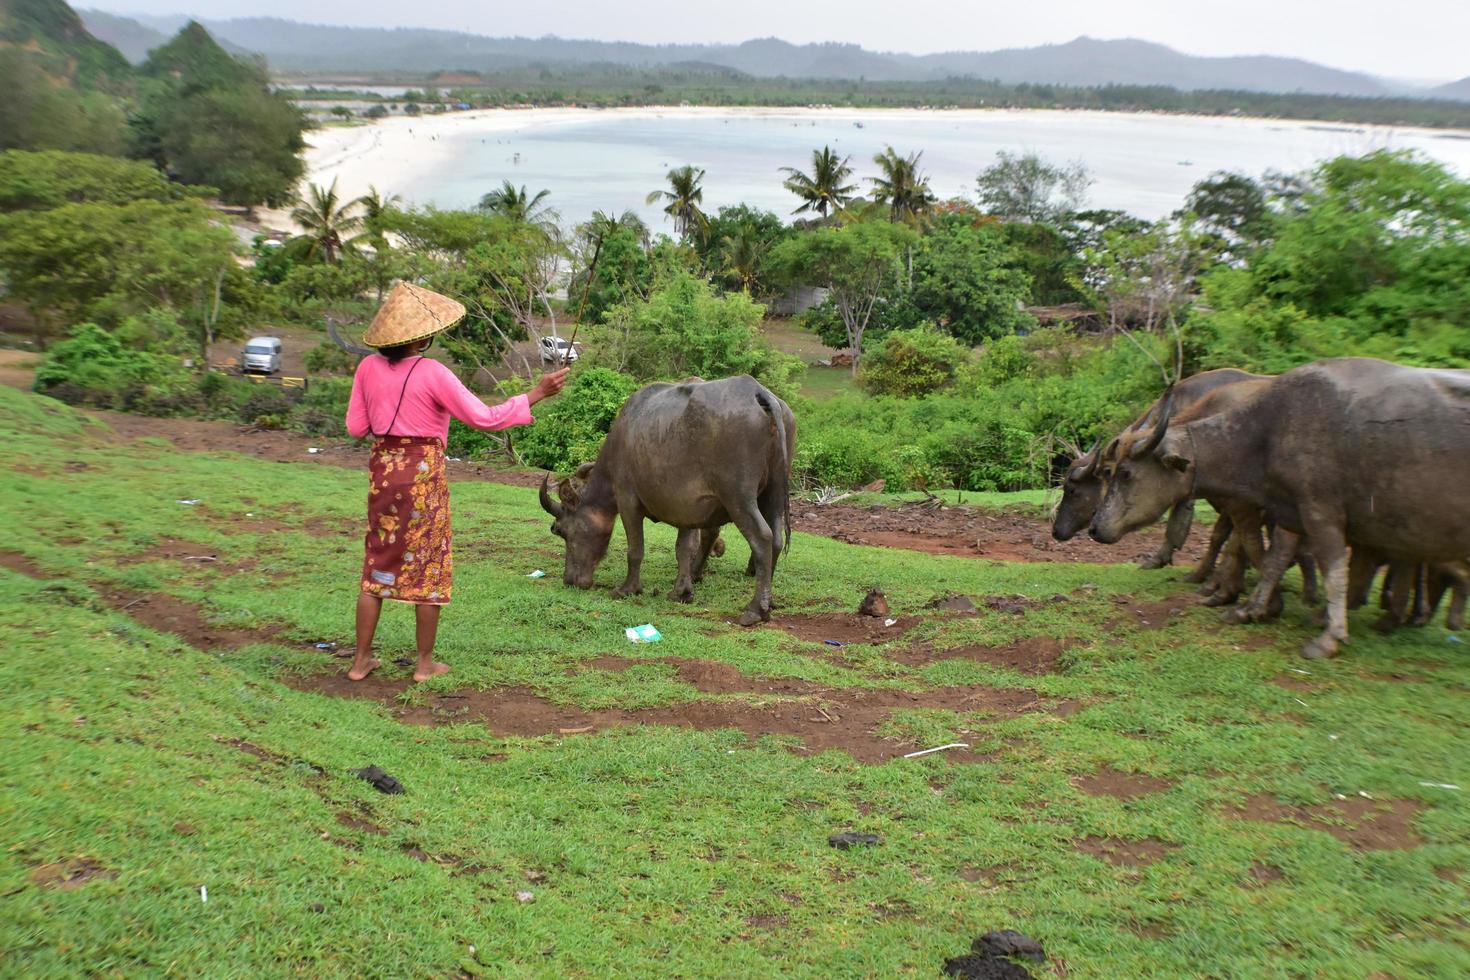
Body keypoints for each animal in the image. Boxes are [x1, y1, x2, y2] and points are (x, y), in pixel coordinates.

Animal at [538, 376, 793, 628]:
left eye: (560, 530)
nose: (569, 580)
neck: (624, 436)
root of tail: (758, 392)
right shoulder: (688, 508)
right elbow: (684, 548)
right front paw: (682, 592)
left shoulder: (627, 500)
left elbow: (635, 549)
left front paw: (628, 588)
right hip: (773, 493)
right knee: (776, 539)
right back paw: (769, 601)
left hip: (738, 497)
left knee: (762, 538)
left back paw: (756, 609)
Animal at [1093, 358, 1470, 658]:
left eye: (1123, 473)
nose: (1096, 528)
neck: (1265, 432)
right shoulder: (1285, 511)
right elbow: (1270, 556)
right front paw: (1253, 604)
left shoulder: (1316, 513)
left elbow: (1322, 567)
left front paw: (1325, 635)